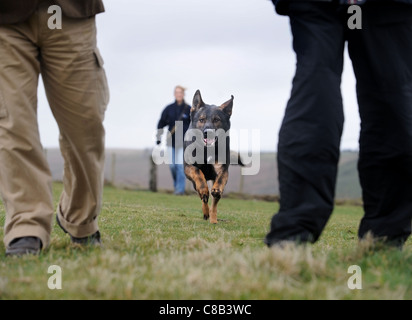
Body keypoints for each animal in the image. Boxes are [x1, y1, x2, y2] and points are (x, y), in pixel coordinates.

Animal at [184, 89, 235, 225]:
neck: (207, 150)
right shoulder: (188, 167)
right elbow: (198, 173)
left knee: (214, 202)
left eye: (216, 120)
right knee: (204, 198)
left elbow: (220, 181)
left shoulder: (222, 169)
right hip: (193, 184)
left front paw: (216, 190)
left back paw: (213, 218)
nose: (208, 132)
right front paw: (203, 190)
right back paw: (206, 211)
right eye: (201, 119)